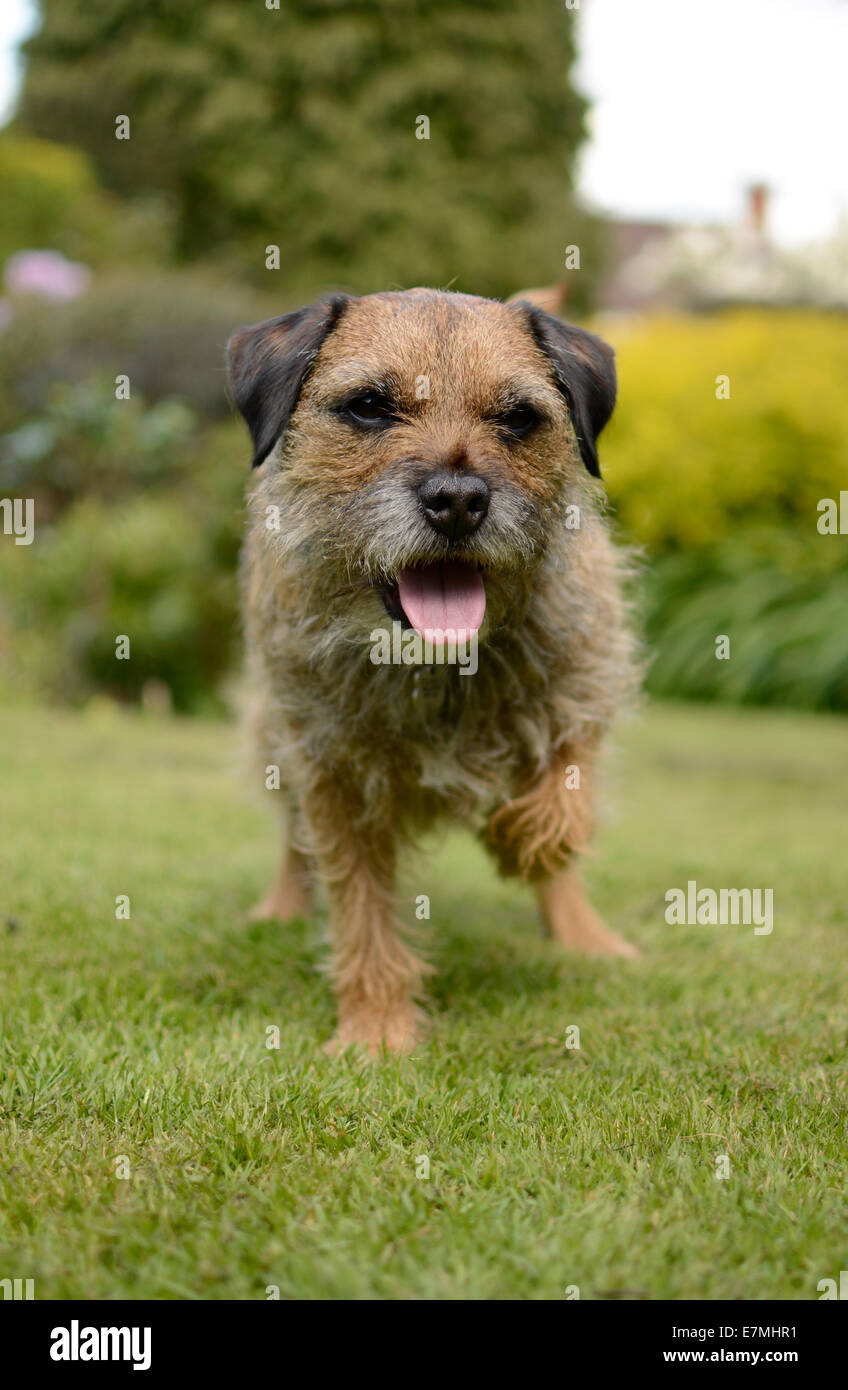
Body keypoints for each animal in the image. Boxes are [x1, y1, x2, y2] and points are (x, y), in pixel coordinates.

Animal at [225, 293, 633, 1050]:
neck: (434, 661)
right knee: (294, 835)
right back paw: (281, 908)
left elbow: (565, 791)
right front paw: (376, 1032)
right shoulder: (331, 769)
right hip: (274, 733)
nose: (460, 500)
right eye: (368, 406)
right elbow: (358, 903)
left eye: (519, 417)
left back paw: (583, 935)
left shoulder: (588, 675)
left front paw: (518, 838)